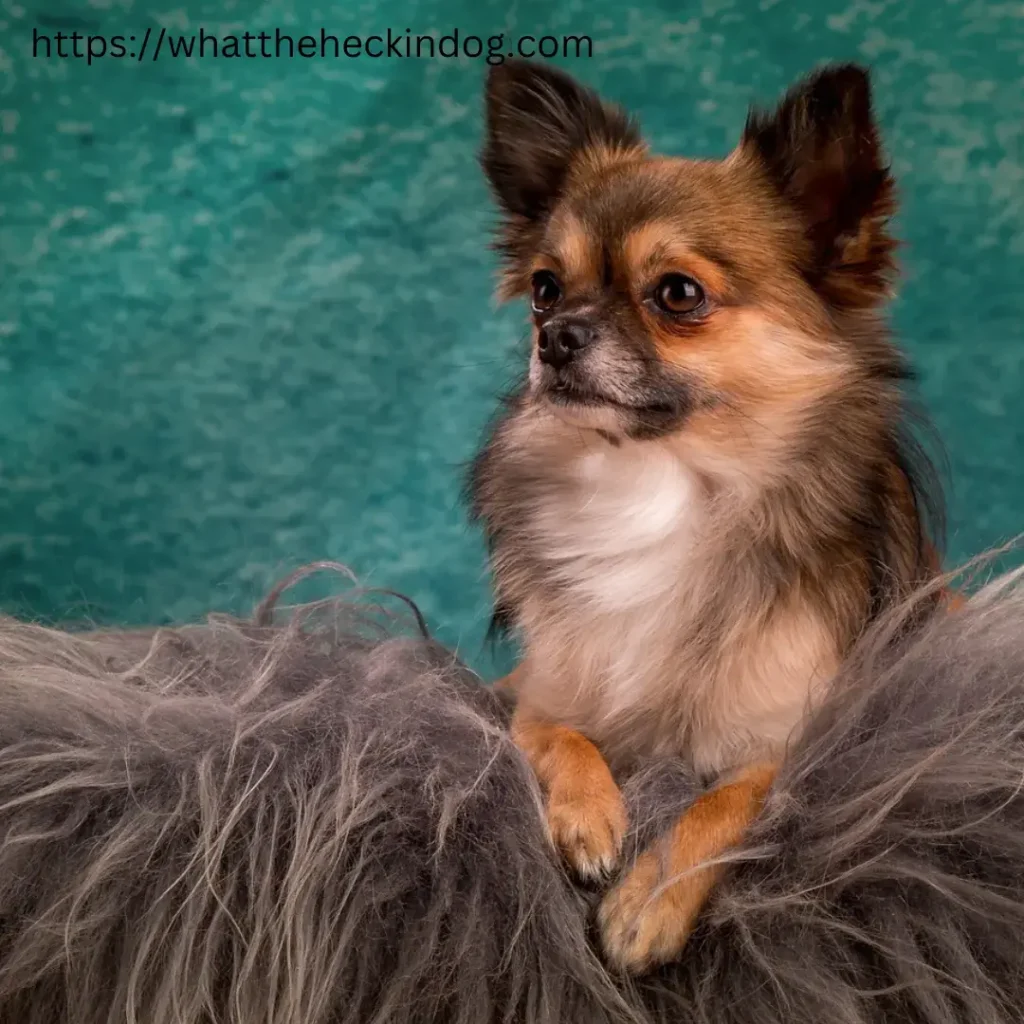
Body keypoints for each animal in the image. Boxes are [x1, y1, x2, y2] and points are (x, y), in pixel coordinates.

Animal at [468, 59, 942, 970]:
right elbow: (555, 731)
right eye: (545, 290)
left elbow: (730, 797)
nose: (557, 337)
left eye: (678, 294)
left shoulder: (807, 736)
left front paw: (647, 901)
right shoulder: (537, 688)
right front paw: (588, 815)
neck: (661, 483)